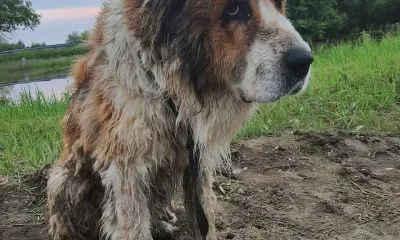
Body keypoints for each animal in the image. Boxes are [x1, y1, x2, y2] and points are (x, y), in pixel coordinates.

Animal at [47, 0, 314, 239]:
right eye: (234, 8)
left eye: (279, 4)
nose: (304, 62)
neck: (167, 82)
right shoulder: (126, 170)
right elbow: (133, 227)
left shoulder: (198, 160)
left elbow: (204, 217)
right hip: (65, 180)